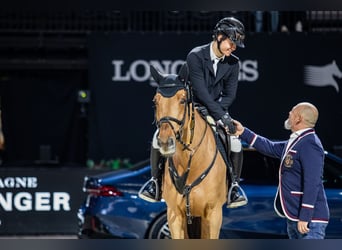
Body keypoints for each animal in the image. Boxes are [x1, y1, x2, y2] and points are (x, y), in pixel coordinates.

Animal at [150, 62, 227, 238]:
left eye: (183, 100)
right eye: (155, 102)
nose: (165, 142)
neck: (190, 160)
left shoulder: (214, 215)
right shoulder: (174, 215)